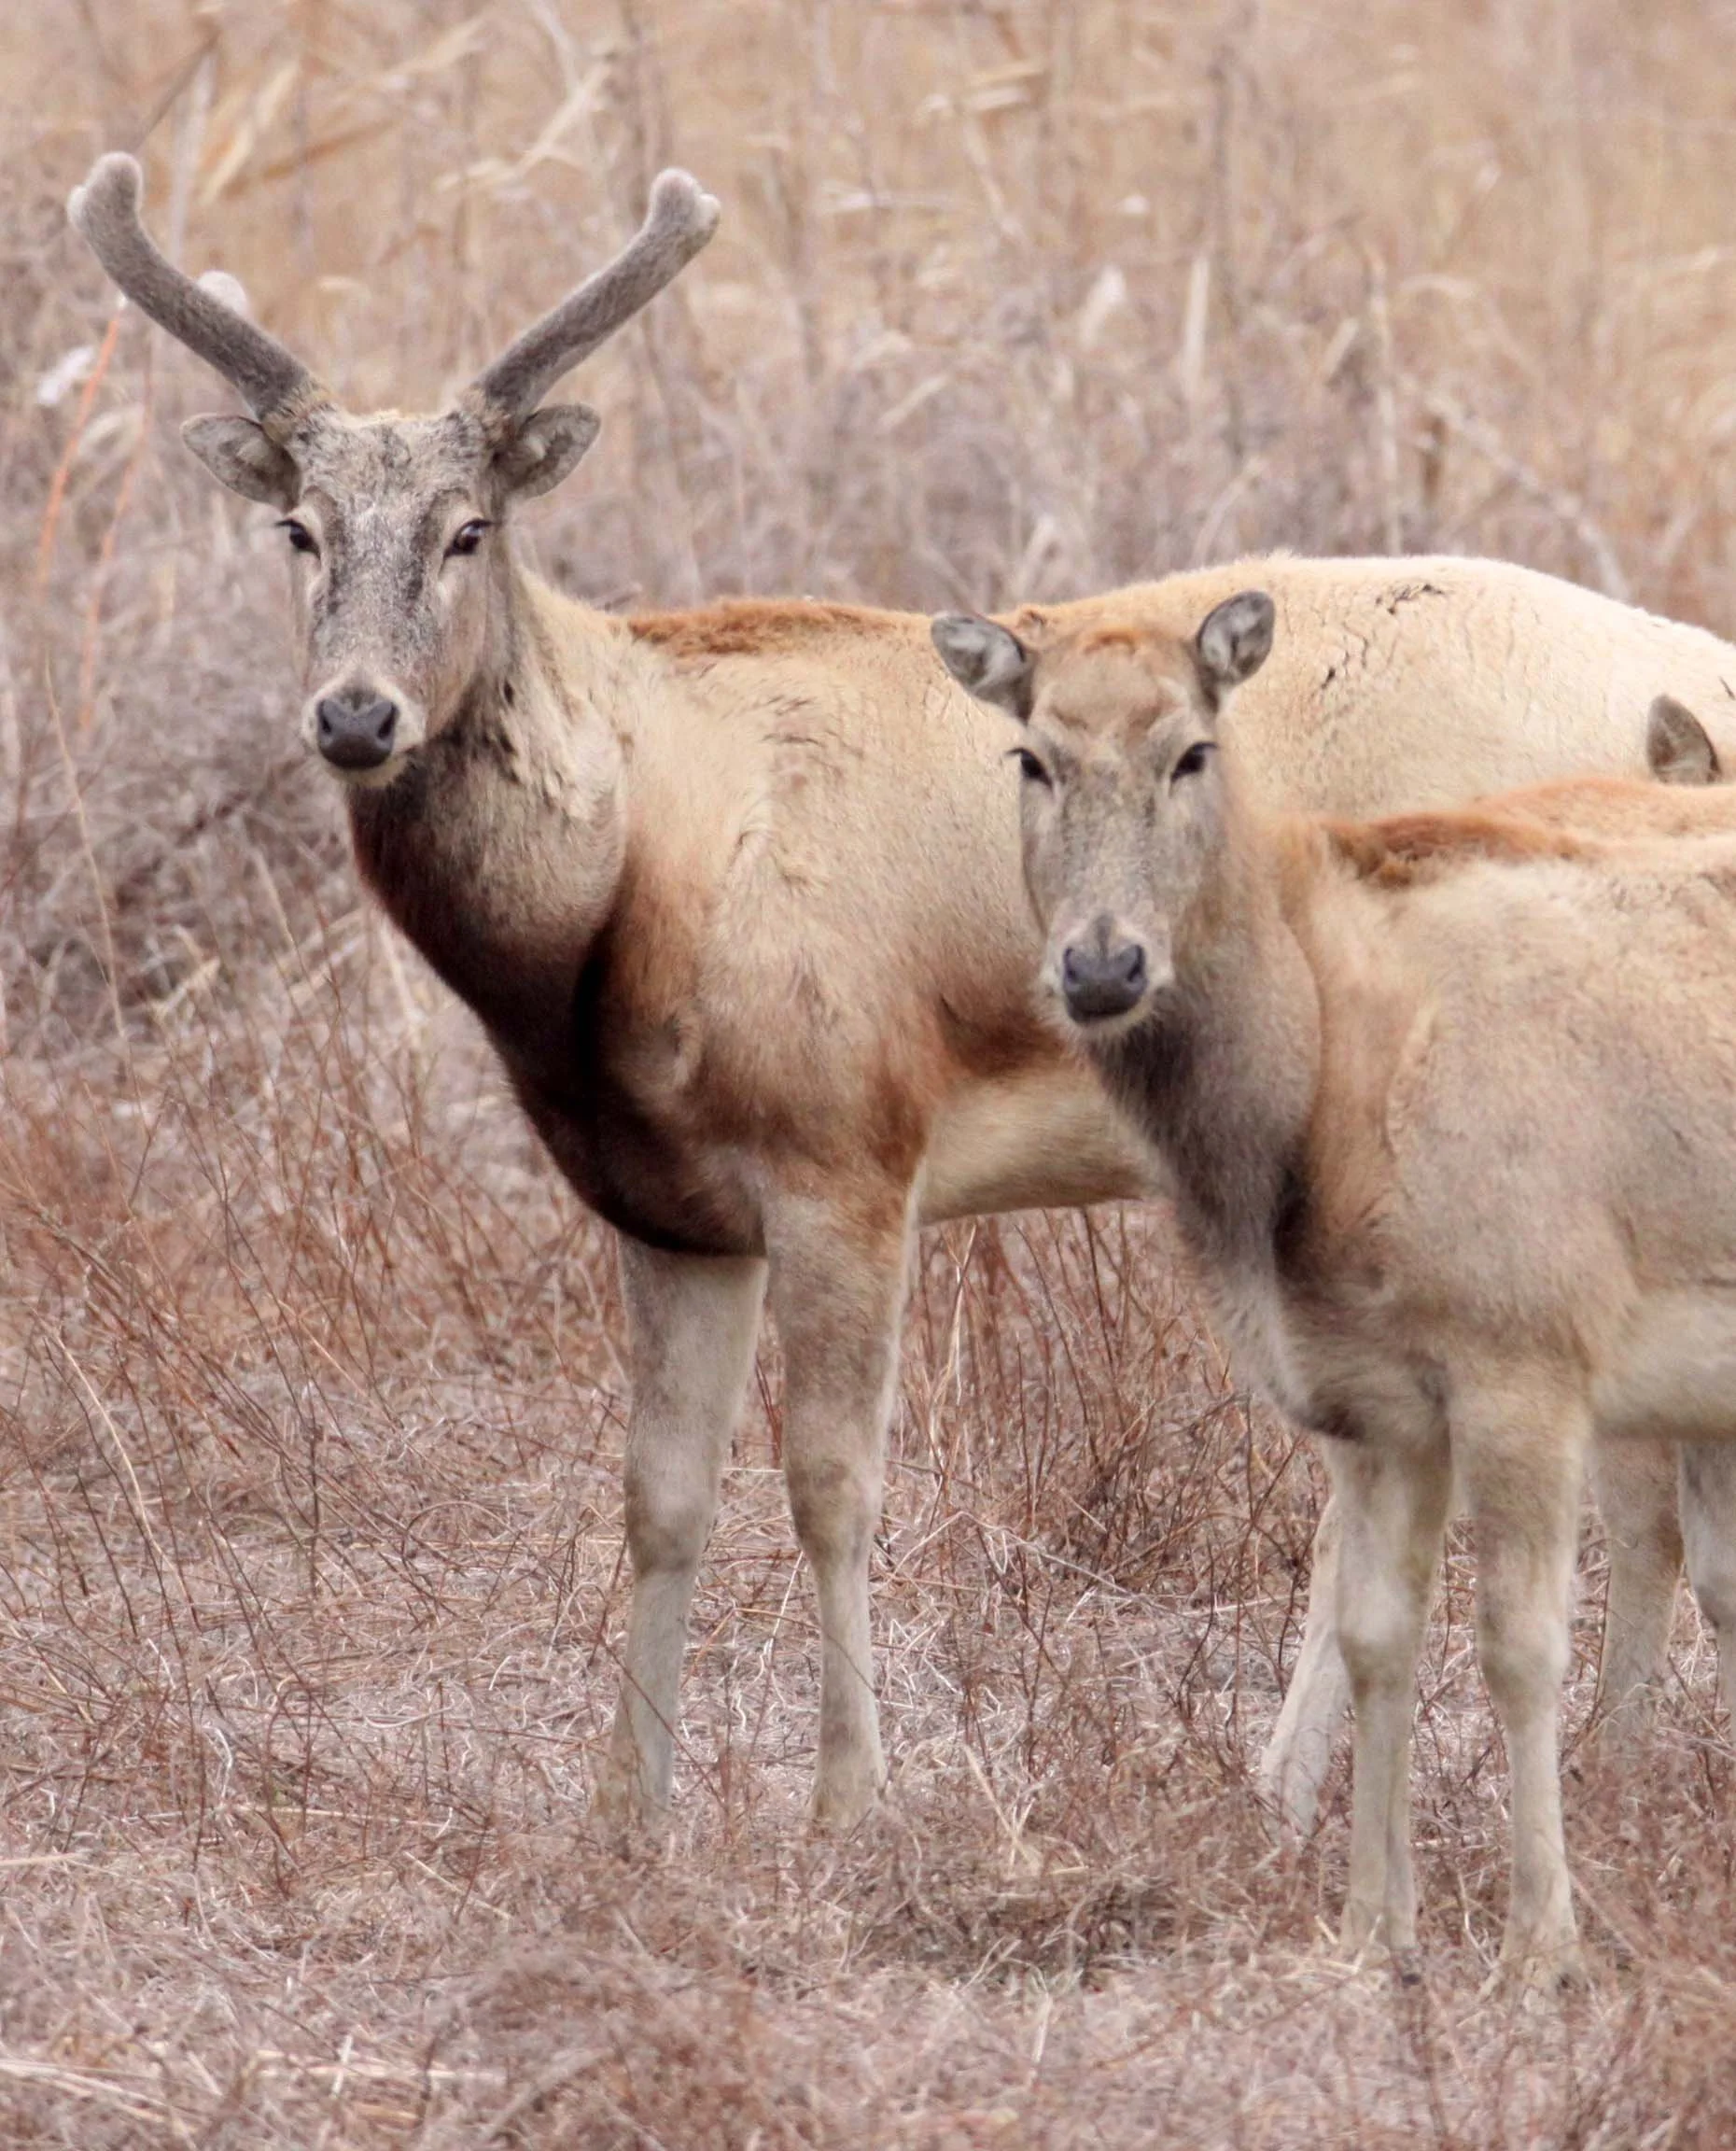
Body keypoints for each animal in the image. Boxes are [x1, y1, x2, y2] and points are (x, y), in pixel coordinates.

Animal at [69, 149, 1736, 1843]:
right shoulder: (664, 1208)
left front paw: (849, 1802)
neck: (632, 882)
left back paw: (1377, 1784)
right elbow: (659, 1494)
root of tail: (1703, 669)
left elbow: (830, 1484)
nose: (355, 715)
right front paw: (627, 1812)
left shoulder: (846, 1145)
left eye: (471, 528)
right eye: (298, 527)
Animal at [932, 591, 1736, 1986]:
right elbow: (1375, 1636)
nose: (1102, 967)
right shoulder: (1372, 1408)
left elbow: (1521, 1646)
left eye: (1194, 748)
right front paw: (1372, 1932)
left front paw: (1541, 1945)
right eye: (1031, 756)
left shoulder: (1528, 1359)